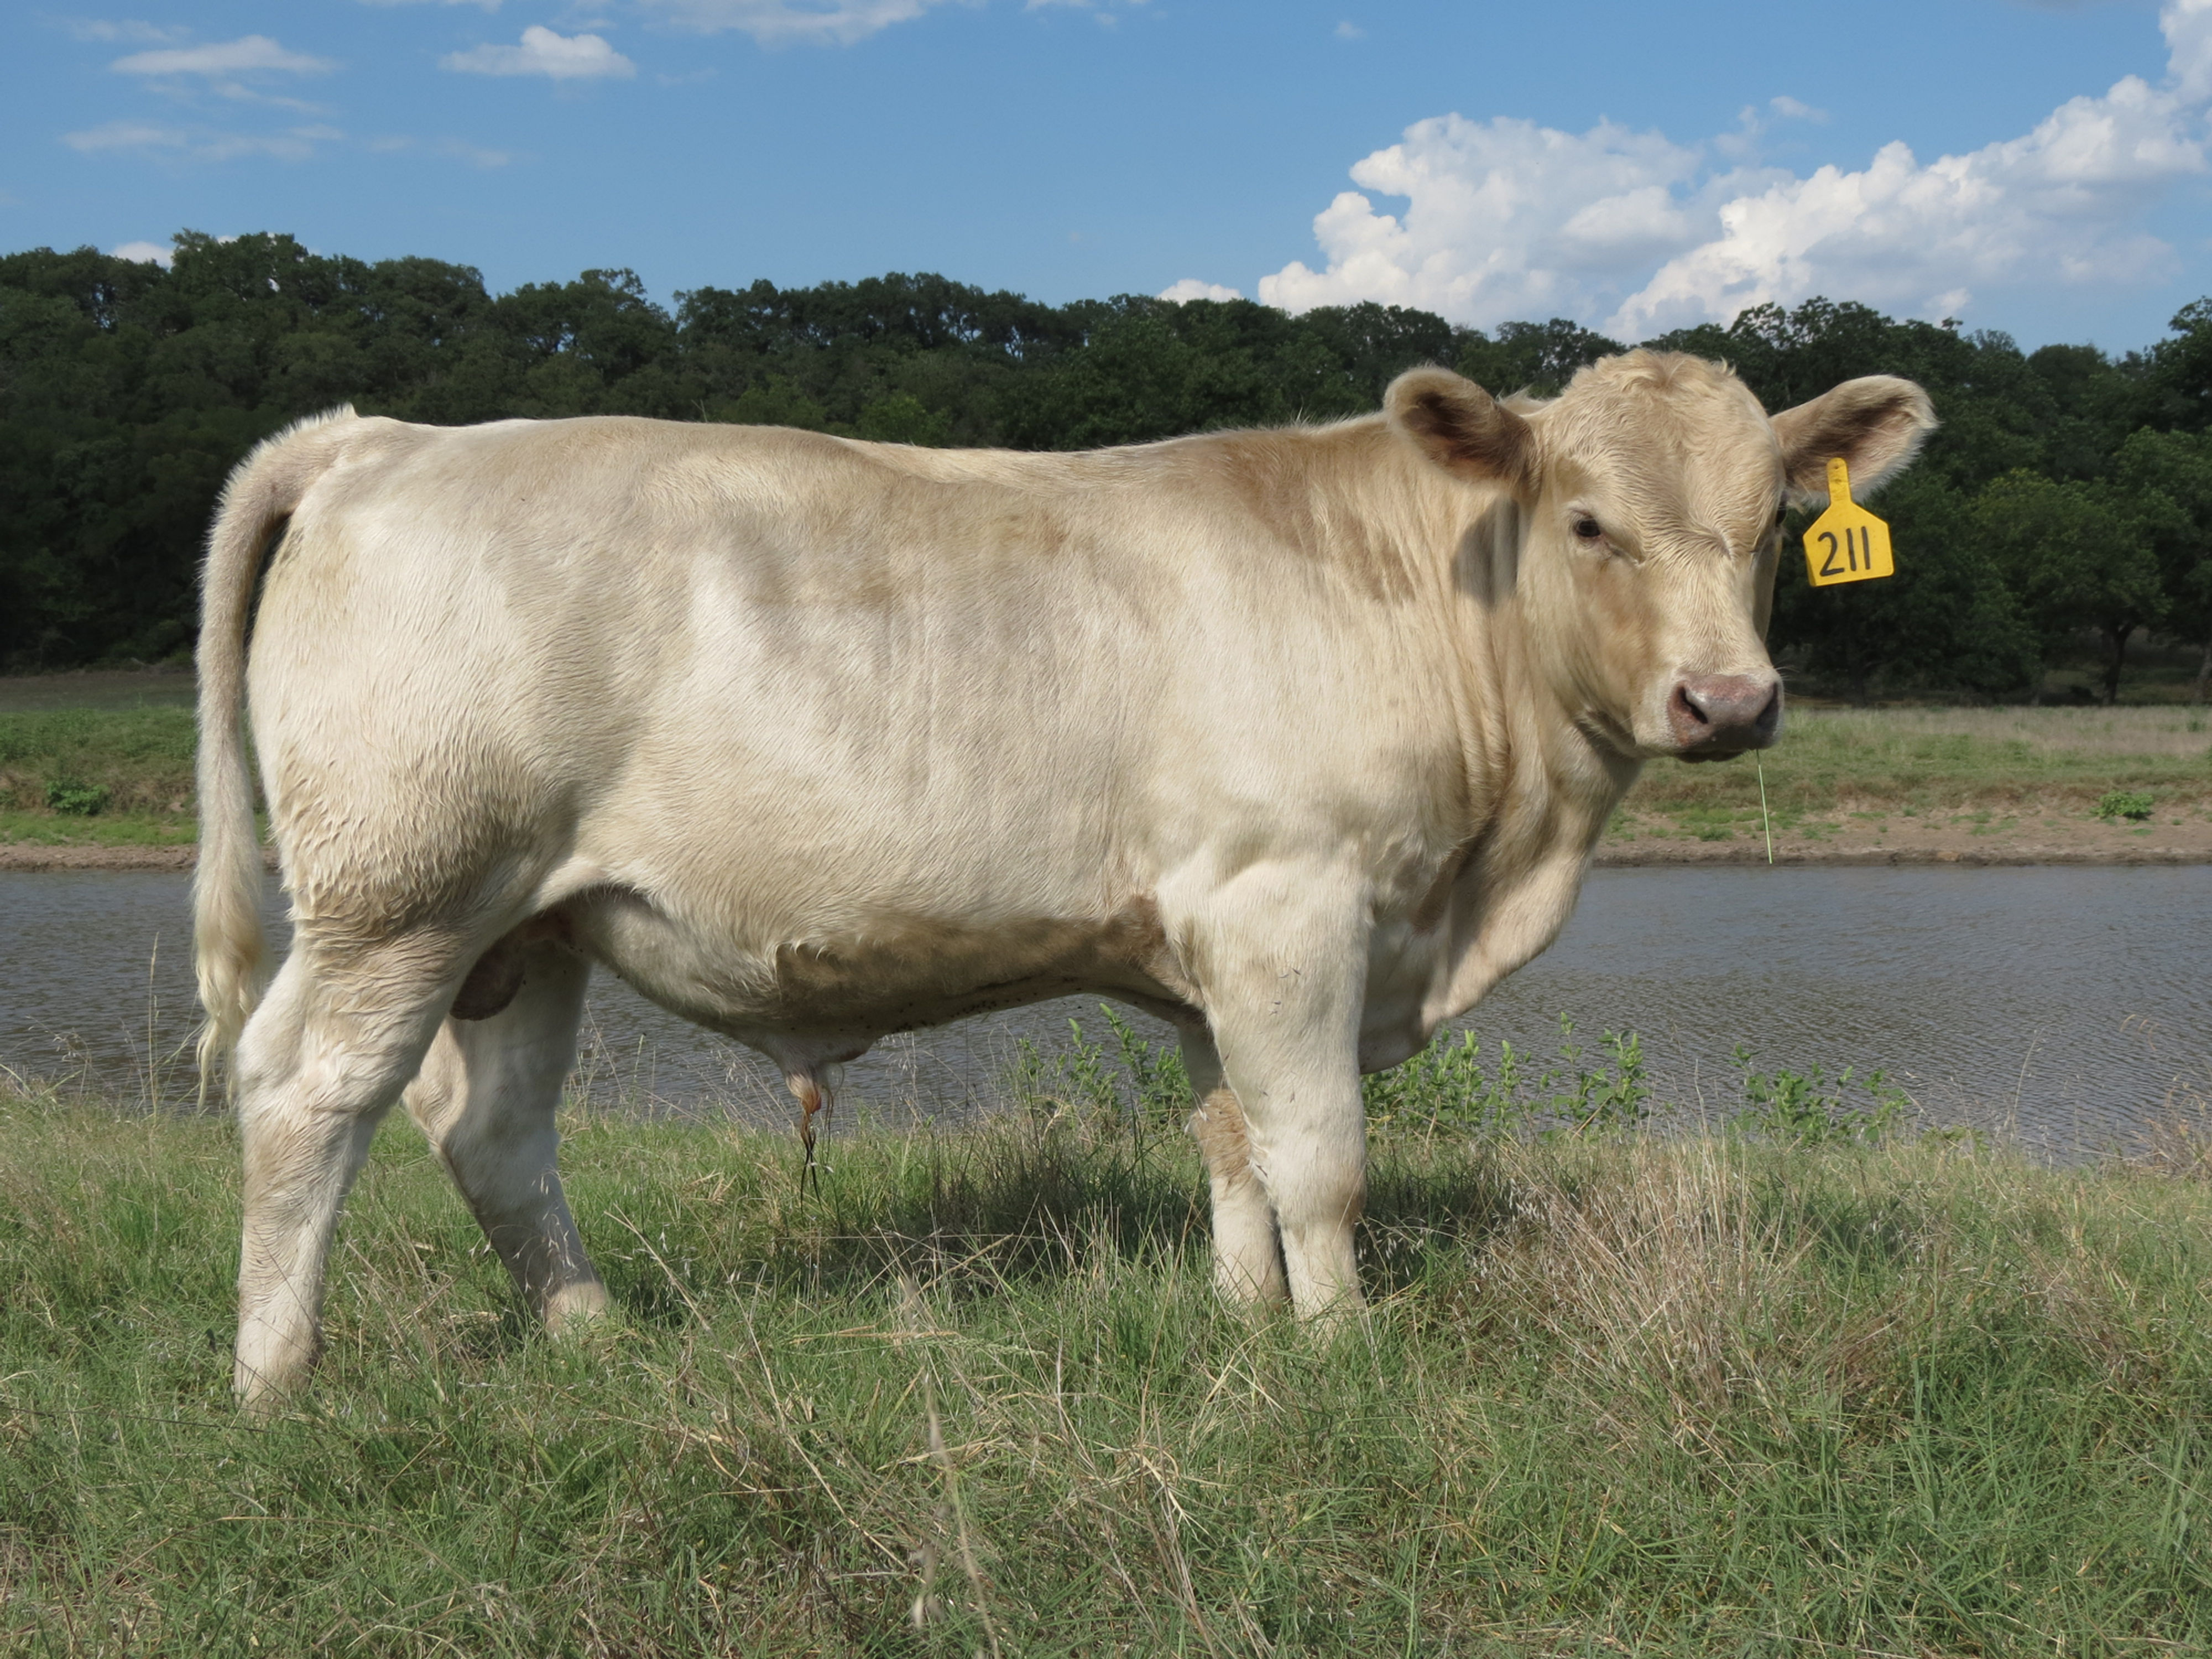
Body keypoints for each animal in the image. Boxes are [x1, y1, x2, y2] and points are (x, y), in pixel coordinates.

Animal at [193, 352, 1934, 1404]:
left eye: (1768, 523)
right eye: (1586, 521)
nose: (1729, 700)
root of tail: (384, 438)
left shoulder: (1207, 941)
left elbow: (1232, 1143)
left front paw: (1244, 1321)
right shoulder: (1291, 906)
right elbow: (1321, 1158)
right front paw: (1343, 1347)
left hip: (530, 925)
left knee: (489, 1129)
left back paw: (592, 1330)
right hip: (401, 894)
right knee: (305, 1097)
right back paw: (277, 1375)